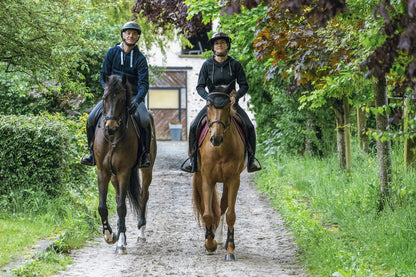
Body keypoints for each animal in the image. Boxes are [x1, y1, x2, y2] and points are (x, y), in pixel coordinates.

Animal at [93, 73, 157, 252]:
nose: (111, 127)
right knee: (118, 198)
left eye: (122, 99)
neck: (113, 139)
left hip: (146, 169)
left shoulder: (124, 171)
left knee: (143, 195)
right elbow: (103, 207)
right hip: (114, 176)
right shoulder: (103, 171)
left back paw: (141, 231)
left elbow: (122, 207)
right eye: (104, 98)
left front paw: (120, 243)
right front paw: (110, 236)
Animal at [193, 83, 247, 260]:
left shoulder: (234, 180)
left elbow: (230, 214)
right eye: (209, 105)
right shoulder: (207, 179)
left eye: (228, 106)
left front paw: (230, 249)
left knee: (223, 206)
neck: (221, 149)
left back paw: (221, 238)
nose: (215, 139)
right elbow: (208, 213)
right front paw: (209, 244)